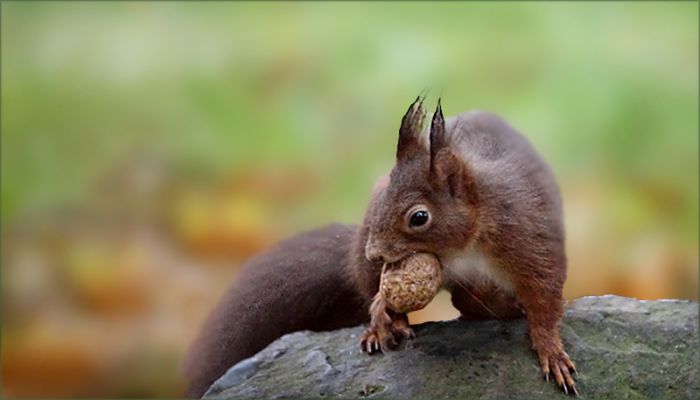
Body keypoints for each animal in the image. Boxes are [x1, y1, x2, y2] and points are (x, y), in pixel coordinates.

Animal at [183, 96, 577, 397]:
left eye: (419, 217)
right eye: (385, 193)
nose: (375, 252)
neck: (461, 246)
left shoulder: (525, 238)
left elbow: (544, 296)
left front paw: (551, 349)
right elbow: (379, 290)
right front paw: (379, 314)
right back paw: (386, 324)